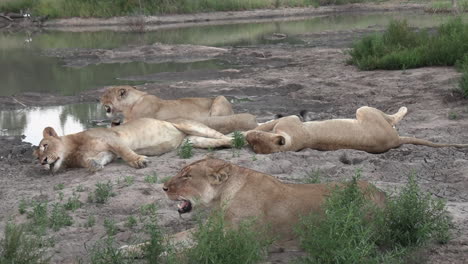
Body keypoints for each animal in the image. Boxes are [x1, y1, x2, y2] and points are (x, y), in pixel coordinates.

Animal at [33, 118, 234, 173]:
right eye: (36, 157)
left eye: (44, 145)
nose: (42, 162)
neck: (73, 150)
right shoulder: (108, 154)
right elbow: (93, 161)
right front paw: (94, 165)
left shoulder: (113, 139)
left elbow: (126, 152)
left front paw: (139, 161)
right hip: (194, 141)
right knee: (217, 140)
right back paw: (225, 146)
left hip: (190, 125)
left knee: (221, 134)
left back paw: (236, 140)